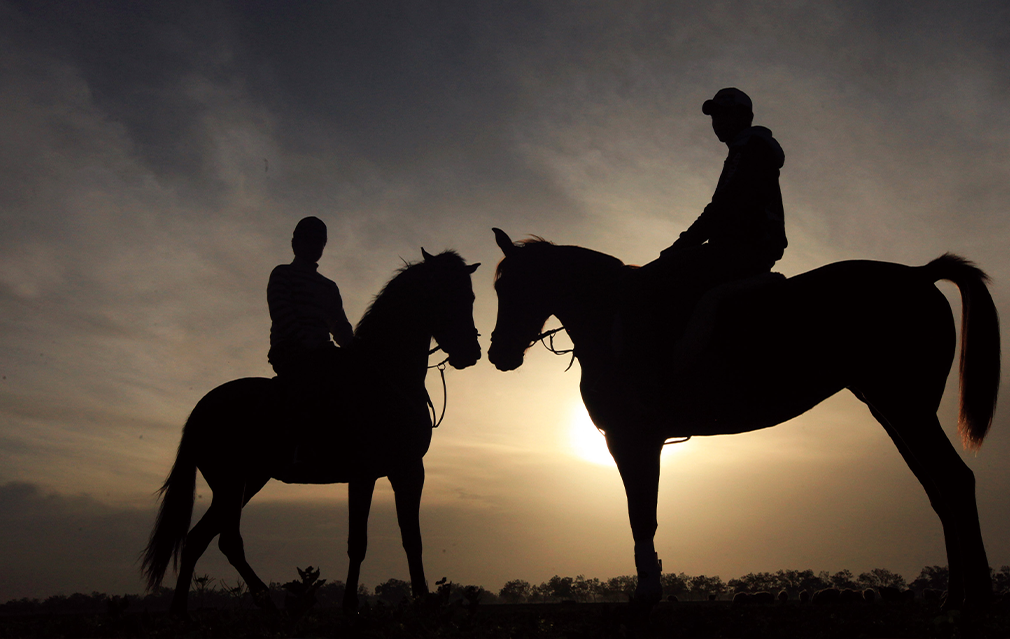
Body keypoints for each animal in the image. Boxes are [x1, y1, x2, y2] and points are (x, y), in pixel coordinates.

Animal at [141, 248, 480, 613]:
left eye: (471, 296)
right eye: (444, 294)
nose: (471, 353)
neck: (385, 378)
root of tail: (201, 408)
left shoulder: (409, 470)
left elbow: (412, 539)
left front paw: (423, 602)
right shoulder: (363, 473)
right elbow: (358, 542)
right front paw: (349, 606)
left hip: (244, 482)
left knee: (199, 540)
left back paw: (186, 610)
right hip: (231, 483)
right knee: (226, 541)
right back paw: (266, 604)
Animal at [484, 228, 997, 609]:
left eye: (514, 287)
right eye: (498, 288)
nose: (498, 355)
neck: (611, 319)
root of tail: (918, 274)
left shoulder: (631, 438)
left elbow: (641, 514)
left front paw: (648, 592)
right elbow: (643, 512)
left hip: (907, 407)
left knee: (955, 481)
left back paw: (976, 599)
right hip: (892, 410)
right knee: (939, 491)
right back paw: (953, 598)